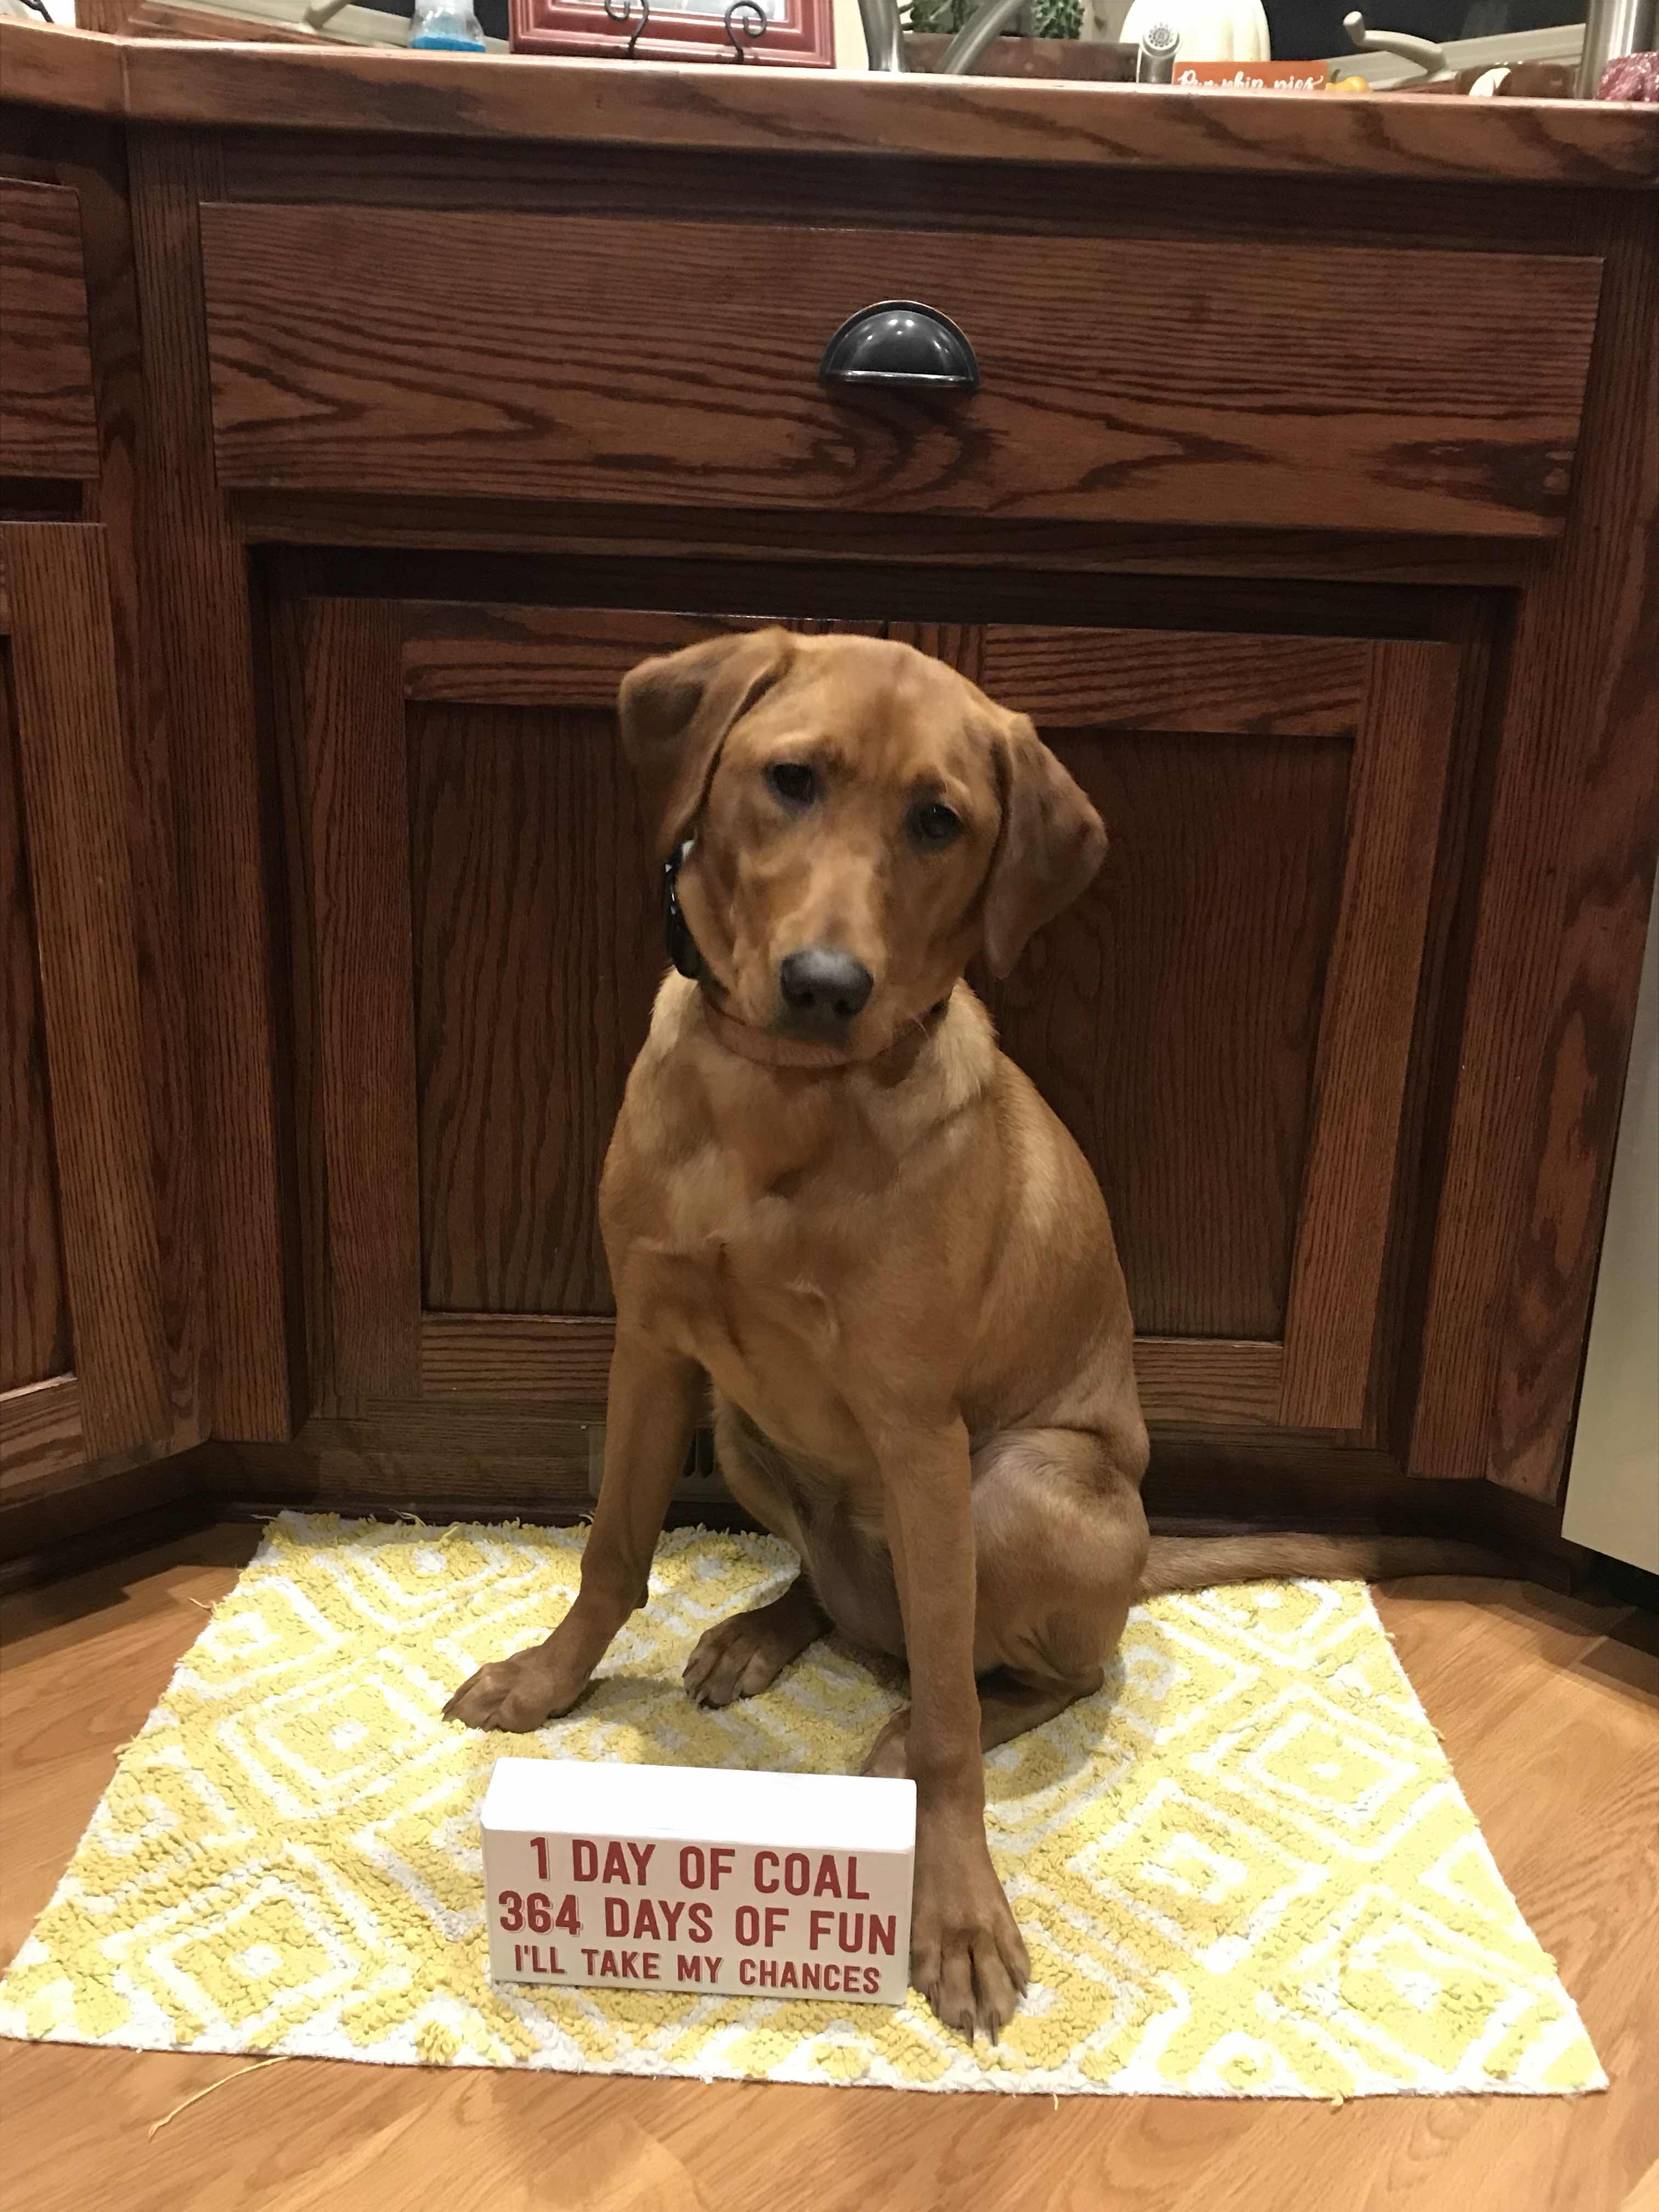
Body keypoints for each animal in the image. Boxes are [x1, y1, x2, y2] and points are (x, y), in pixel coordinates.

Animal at [445, 629, 1496, 2039]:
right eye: (790, 780)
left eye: (939, 821)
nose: (826, 986)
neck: (784, 1102)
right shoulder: (654, 1345)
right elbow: (614, 1551)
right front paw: (547, 1683)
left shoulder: (917, 1429)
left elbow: (950, 1712)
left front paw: (955, 1913)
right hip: (749, 1431)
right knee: (840, 1593)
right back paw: (761, 1630)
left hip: (1016, 1490)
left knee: (1029, 1673)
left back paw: (912, 1725)